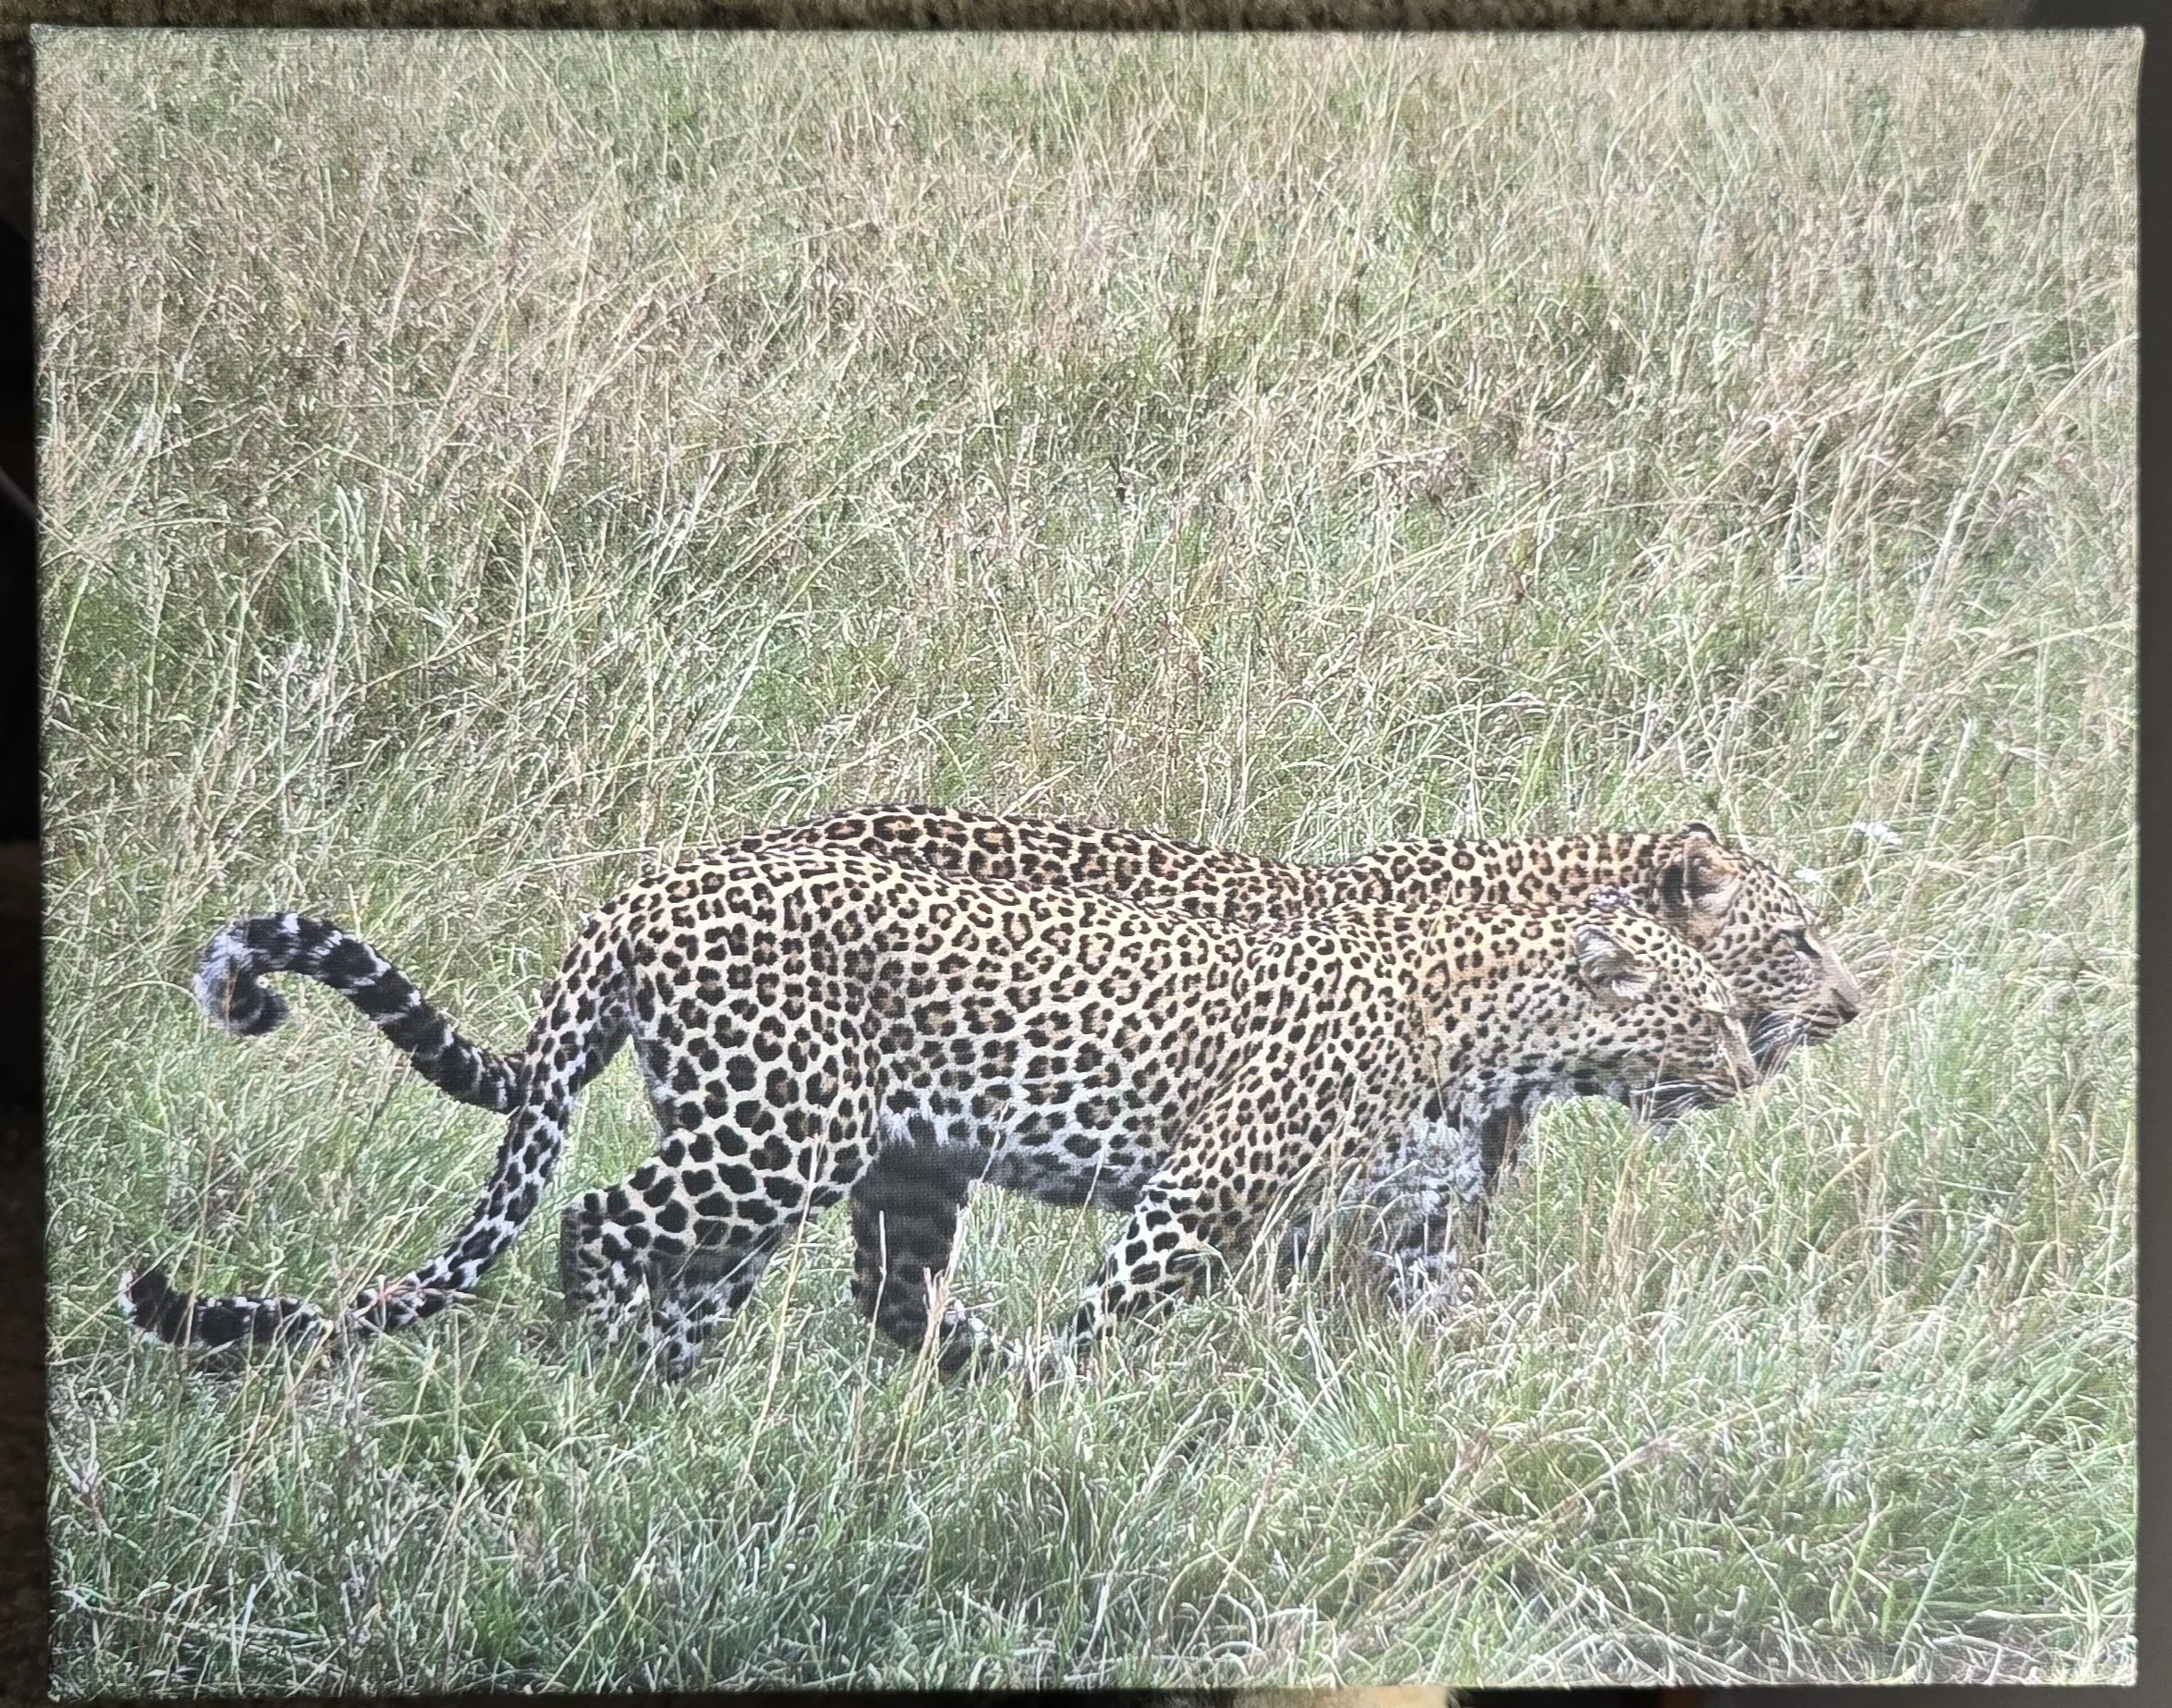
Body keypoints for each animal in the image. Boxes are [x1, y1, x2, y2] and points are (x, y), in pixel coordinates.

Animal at [134, 804, 1860, 1352]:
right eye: (1792, 940)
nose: (1847, 1006)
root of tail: (654, 885)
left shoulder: (1419, 1220)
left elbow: (1441, 1330)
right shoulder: (1223, 1193)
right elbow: (1131, 1322)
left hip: (847, 1157)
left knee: (786, 1281)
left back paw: (686, 1399)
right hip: (776, 1133)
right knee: (599, 1227)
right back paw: (602, 1375)